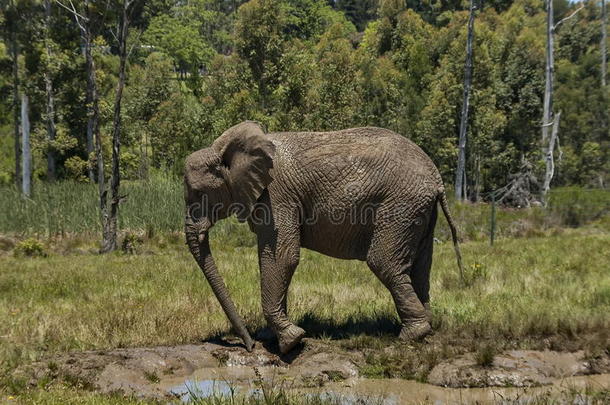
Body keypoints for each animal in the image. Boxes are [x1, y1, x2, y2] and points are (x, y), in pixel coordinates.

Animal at [184, 120, 460, 354]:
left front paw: (290, 342)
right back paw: (425, 327)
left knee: (385, 263)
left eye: (198, 193)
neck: (225, 150)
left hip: (400, 206)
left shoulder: (277, 196)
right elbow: (279, 261)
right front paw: (272, 337)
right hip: (419, 211)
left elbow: (281, 258)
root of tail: (436, 177)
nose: (249, 345)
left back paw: (411, 335)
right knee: (420, 268)